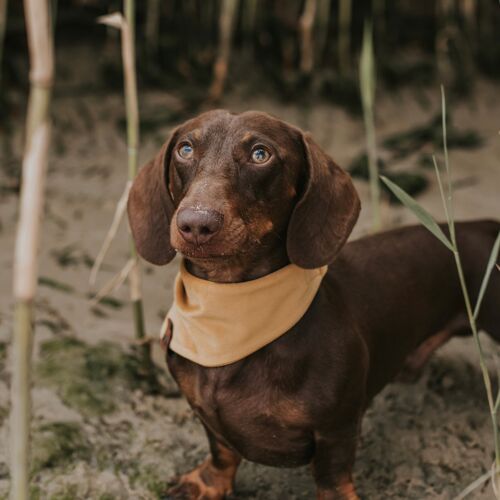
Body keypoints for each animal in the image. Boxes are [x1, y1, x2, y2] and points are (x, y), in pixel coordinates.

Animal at [127, 110, 498, 500]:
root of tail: (485, 226)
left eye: (261, 154)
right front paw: (208, 483)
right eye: (185, 149)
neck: (229, 314)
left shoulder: (337, 428)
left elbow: (333, 475)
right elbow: (222, 450)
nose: (196, 223)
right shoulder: (205, 414)